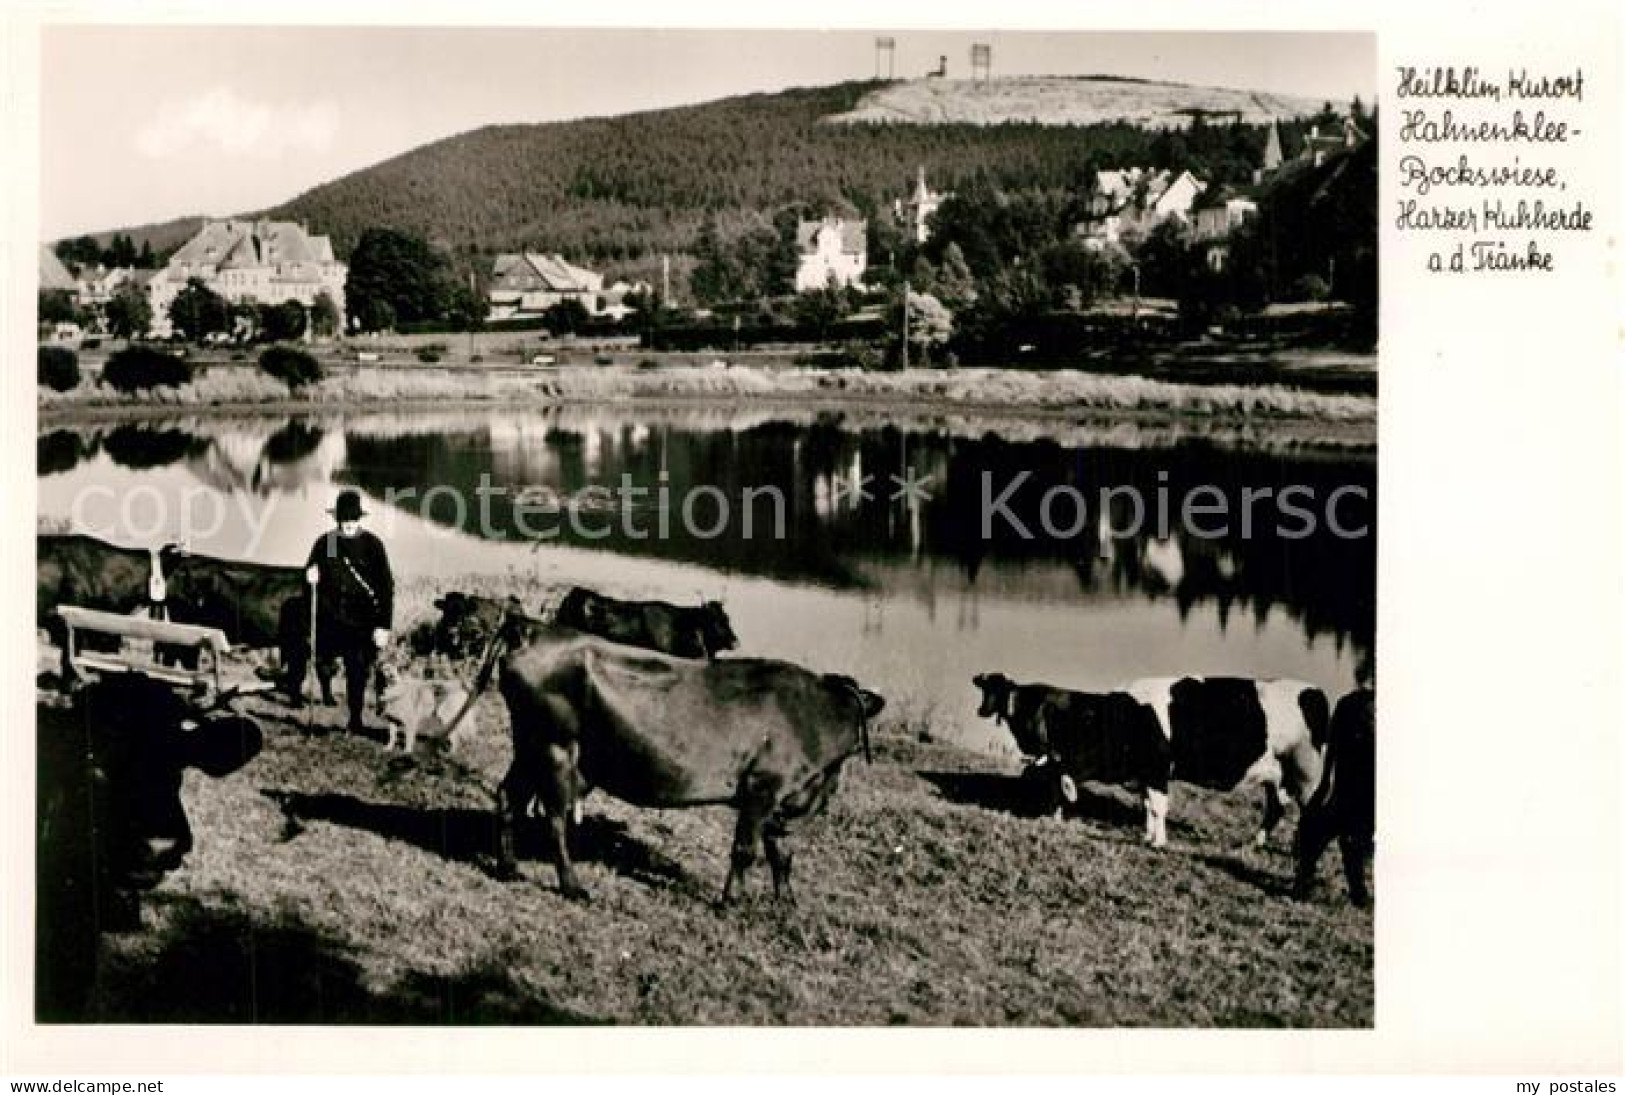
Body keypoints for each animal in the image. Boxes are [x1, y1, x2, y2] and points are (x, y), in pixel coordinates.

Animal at [968, 666, 1326, 844]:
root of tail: (1313, 691)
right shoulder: (1143, 774)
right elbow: (1146, 807)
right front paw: (1147, 834)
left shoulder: (1156, 770)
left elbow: (1158, 806)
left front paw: (1158, 842)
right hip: (1278, 776)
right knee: (1275, 810)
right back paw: (1254, 844)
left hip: (1308, 775)